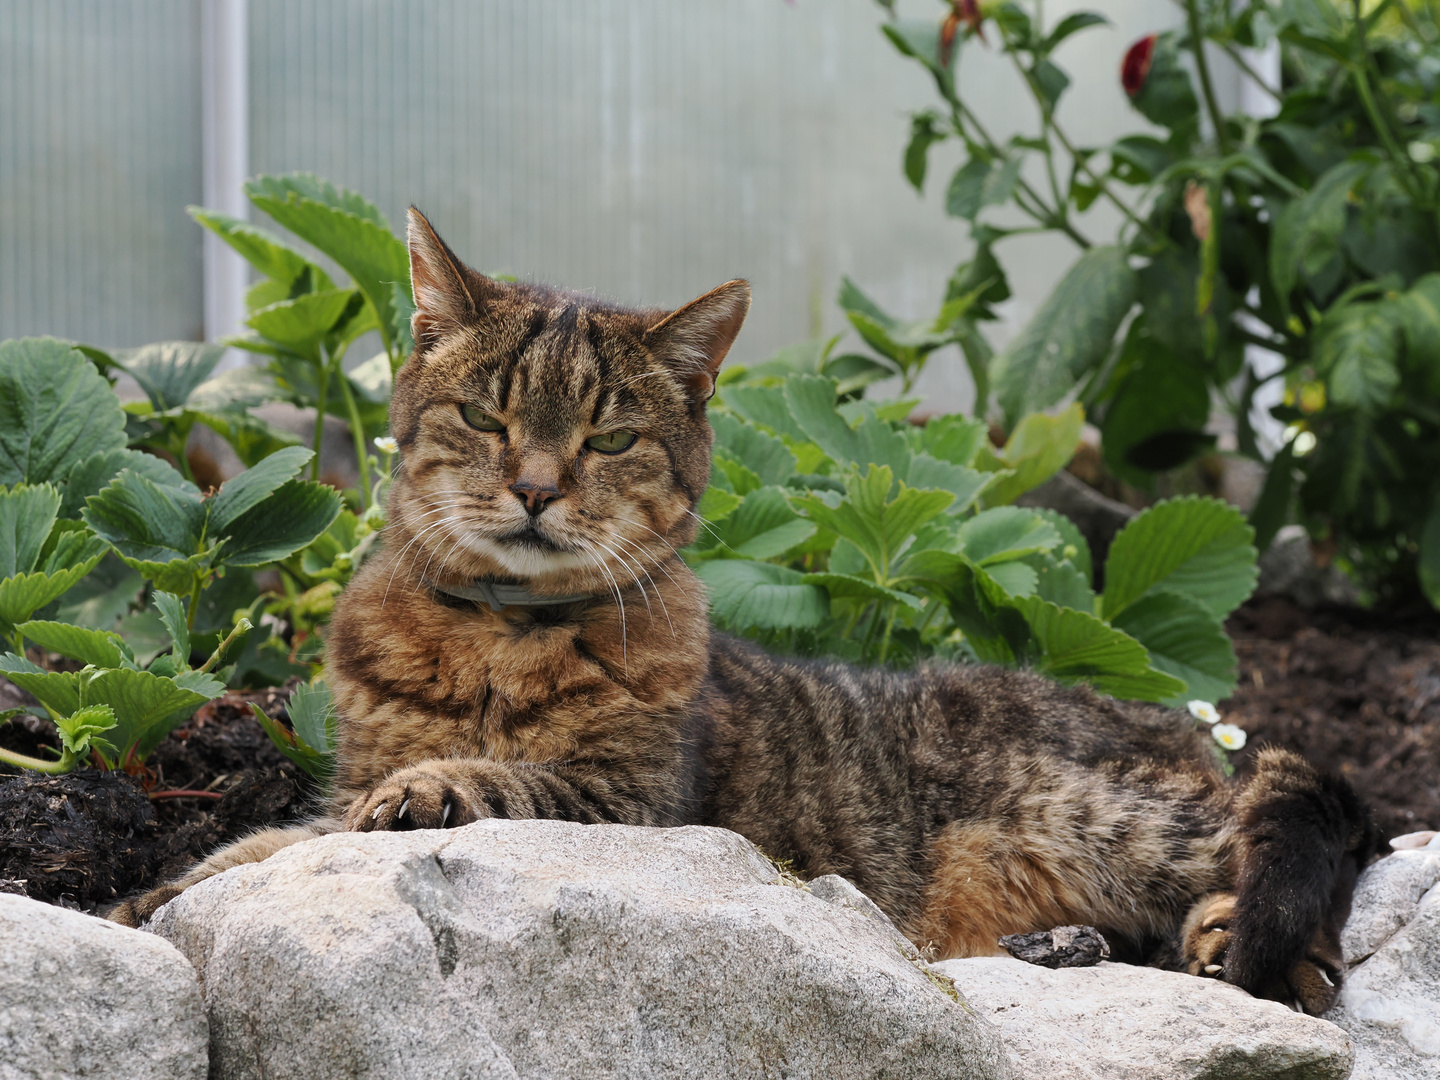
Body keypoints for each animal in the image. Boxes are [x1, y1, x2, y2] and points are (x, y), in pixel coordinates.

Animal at [112, 208, 1370, 1013]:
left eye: (608, 437)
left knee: (1304, 847)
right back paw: (1095, 942)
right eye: (487, 416)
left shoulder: (638, 803)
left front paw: (435, 787)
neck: (498, 641)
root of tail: (1191, 728)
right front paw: (148, 903)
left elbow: (505, 780)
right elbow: (258, 847)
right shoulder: (333, 794)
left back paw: (1266, 951)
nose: (536, 488)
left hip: (1112, 809)